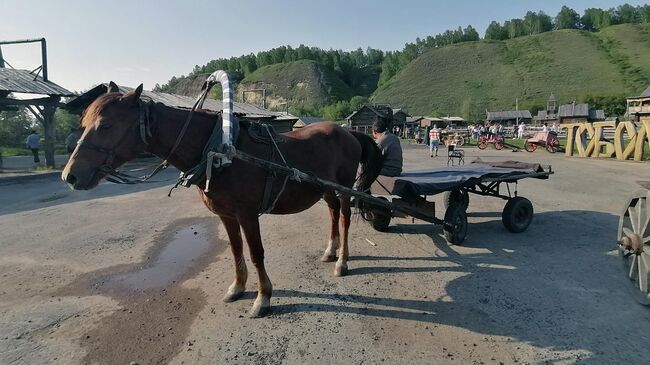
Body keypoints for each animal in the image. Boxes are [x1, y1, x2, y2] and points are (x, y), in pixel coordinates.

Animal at [61, 84, 382, 316]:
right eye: (83, 122)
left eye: (106, 125)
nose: (70, 176)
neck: (218, 151)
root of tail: (349, 132)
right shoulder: (226, 214)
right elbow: (236, 249)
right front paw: (238, 287)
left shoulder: (248, 214)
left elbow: (255, 253)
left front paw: (263, 298)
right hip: (324, 190)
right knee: (332, 214)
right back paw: (330, 251)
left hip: (343, 188)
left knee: (344, 217)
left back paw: (342, 261)